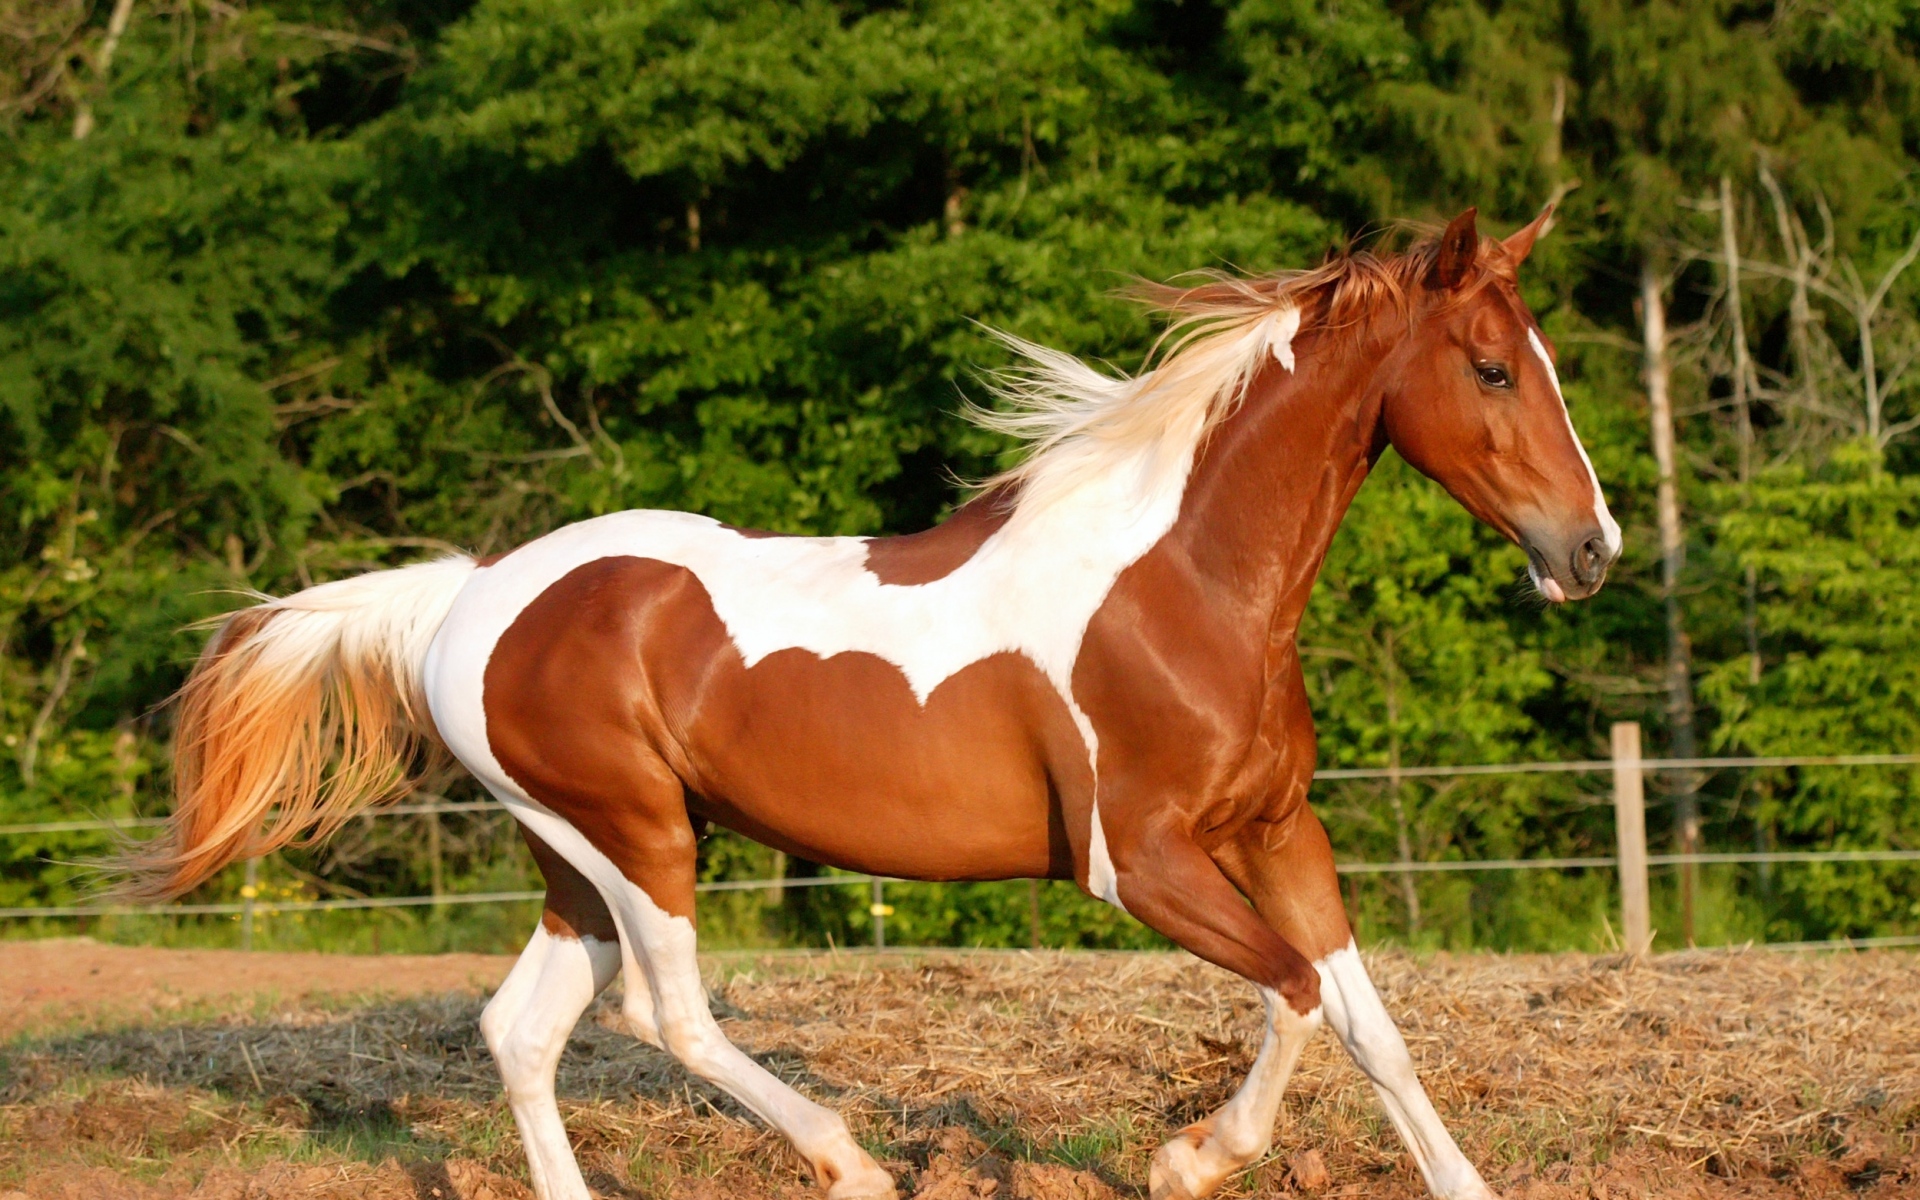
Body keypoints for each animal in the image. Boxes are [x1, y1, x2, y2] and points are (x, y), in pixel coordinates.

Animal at [124, 207, 1618, 1200]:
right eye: (1491, 367)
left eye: (1542, 361)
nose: (1591, 549)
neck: (1183, 582)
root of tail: (469, 595)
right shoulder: (1136, 860)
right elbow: (1298, 993)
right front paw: (1190, 1158)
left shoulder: (1277, 830)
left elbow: (1369, 1023)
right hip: (636, 840)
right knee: (663, 1017)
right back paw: (847, 1161)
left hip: (579, 856)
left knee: (523, 1029)